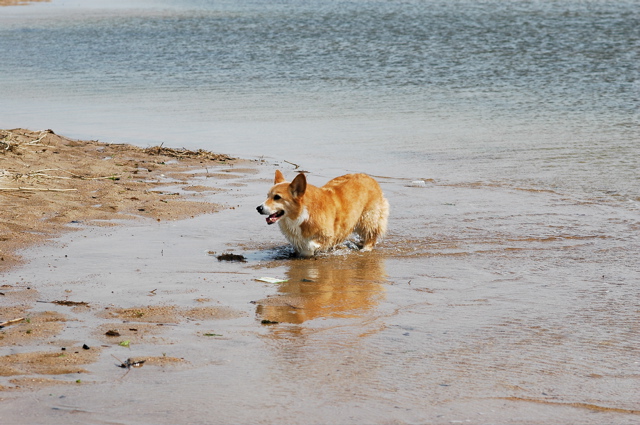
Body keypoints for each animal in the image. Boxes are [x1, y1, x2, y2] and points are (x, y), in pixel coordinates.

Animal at [256, 169, 390, 255]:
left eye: (277, 197)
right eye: (267, 196)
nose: (258, 208)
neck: (302, 214)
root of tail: (369, 177)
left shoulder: (327, 235)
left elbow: (310, 245)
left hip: (368, 218)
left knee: (371, 234)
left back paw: (365, 249)